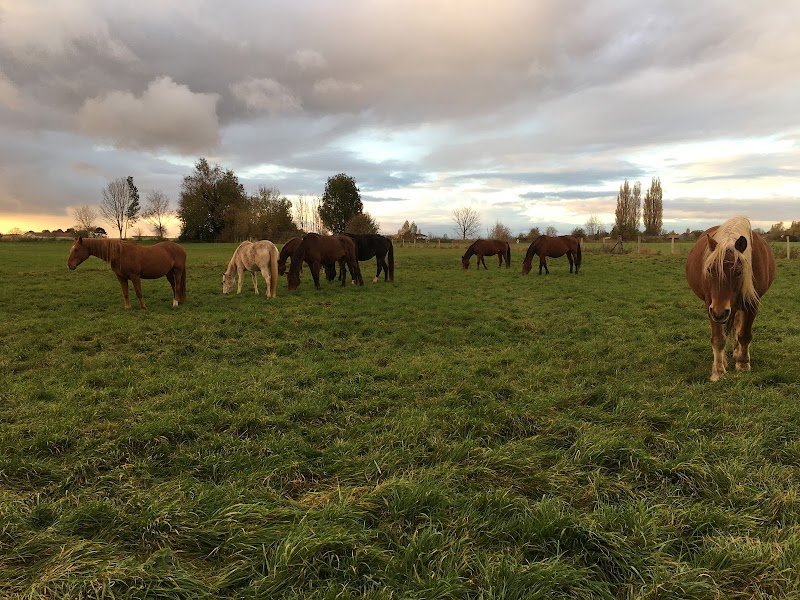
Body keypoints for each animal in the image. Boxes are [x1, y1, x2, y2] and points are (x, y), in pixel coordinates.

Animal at [685, 216, 776, 381]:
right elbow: (718, 339)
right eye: (710, 270)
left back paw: (737, 352)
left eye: (739, 272)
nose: (720, 313)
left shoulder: (752, 303)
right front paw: (718, 370)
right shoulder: (710, 305)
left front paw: (743, 363)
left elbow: (744, 335)